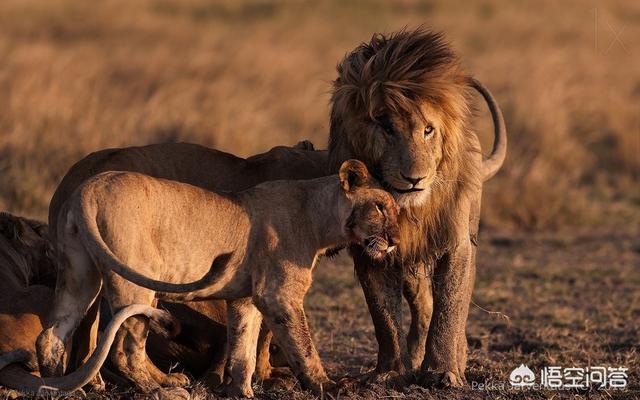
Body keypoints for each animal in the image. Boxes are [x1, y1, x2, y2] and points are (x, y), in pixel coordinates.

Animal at [36, 159, 400, 396]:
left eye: (398, 211)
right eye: (380, 207)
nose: (396, 240)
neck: (318, 215)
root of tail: (89, 188)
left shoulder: (245, 298)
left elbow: (243, 348)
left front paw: (240, 391)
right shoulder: (279, 295)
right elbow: (303, 345)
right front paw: (328, 386)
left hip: (79, 273)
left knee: (52, 335)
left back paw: (56, 385)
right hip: (137, 280)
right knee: (126, 347)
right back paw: (160, 389)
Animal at [328, 28, 508, 388]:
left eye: (428, 129)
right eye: (386, 127)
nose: (415, 179)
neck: (408, 208)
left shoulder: (457, 244)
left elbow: (450, 308)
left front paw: (442, 371)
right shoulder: (369, 251)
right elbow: (384, 317)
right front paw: (390, 372)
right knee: (422, 303)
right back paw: (413, 357)